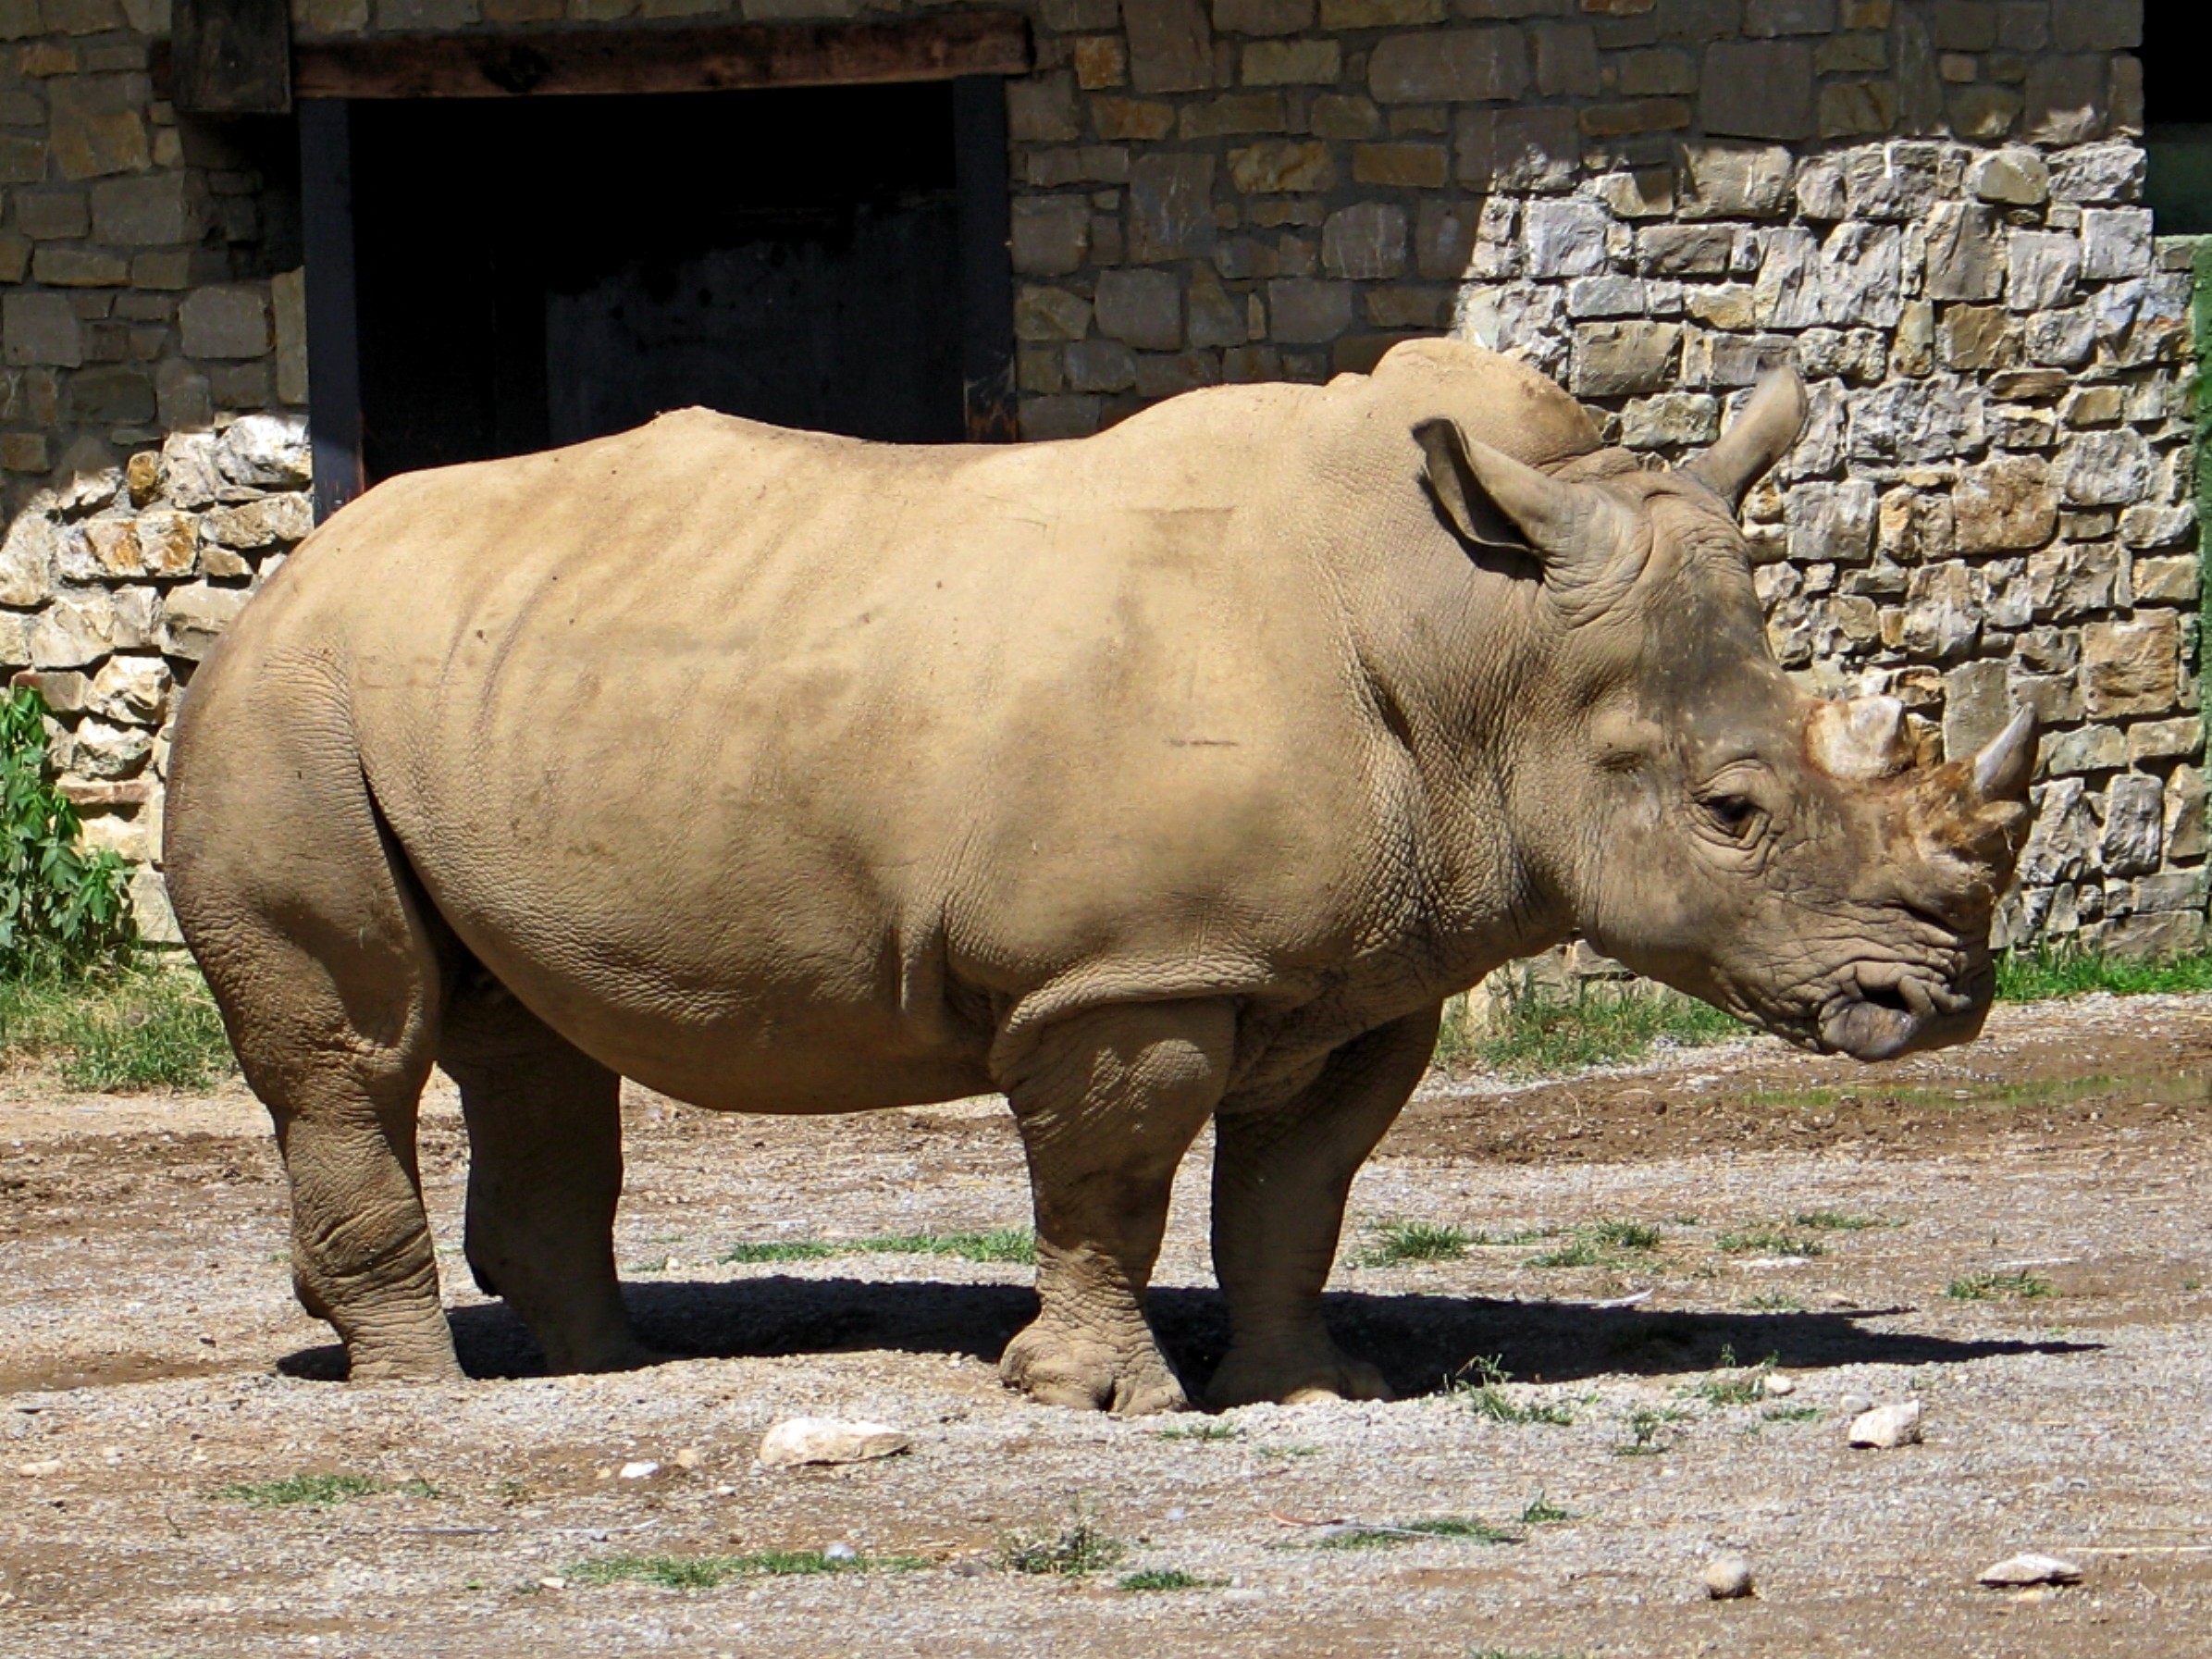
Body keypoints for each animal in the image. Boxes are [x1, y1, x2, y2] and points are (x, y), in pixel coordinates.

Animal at [164, 339, 2034, 1411]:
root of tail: (280, 571)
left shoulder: (1364, 965)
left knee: (527, 1035)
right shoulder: (1128, 967)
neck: (1479, 642)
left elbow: (1297, 1187)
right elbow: (1115, 1176)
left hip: (477, 687)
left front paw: (1308, 1389)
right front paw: (1087, 1400)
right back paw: (422, 1401)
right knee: (355, 1046)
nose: (1941, 1001)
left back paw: (600, 1365)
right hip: (286, 703)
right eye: (1730, 812)